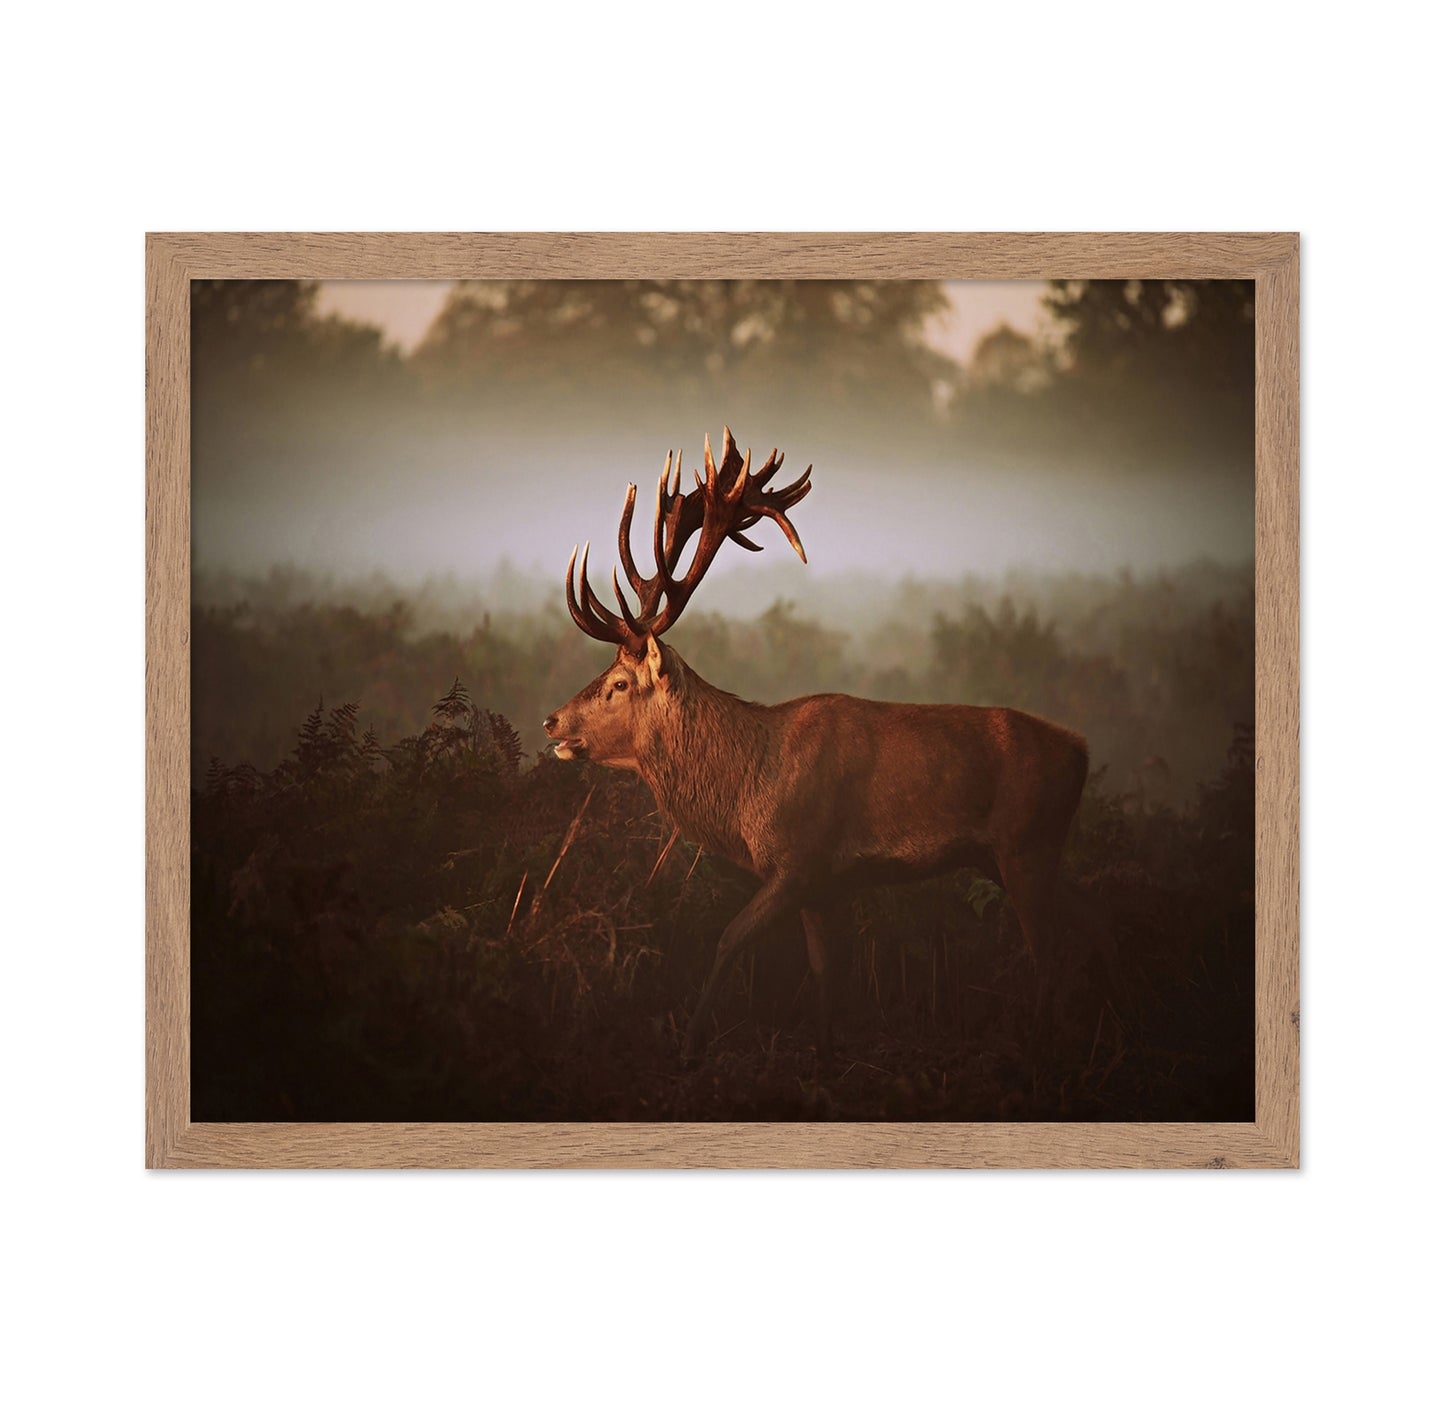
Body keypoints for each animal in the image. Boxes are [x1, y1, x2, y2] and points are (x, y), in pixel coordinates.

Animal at [543, 428, 1089, 1068]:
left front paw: (692, 1045)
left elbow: (728, 939)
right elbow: (827, 974)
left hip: (1027, 844)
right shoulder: (826, 888)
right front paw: (827, 1054)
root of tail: (1081, 751)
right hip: (1012, 856)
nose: (552, 721)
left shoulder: (798, 861)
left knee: (1051, 953)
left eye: (619, 683)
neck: (747, 790)